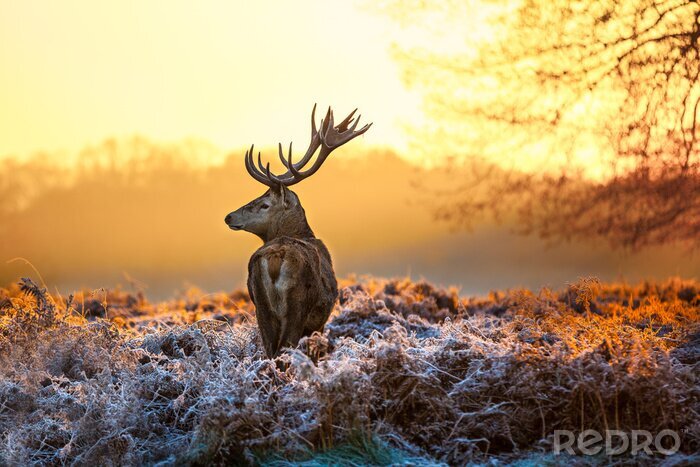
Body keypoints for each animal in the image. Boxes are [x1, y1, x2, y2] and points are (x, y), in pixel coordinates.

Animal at [224, 105, 371, 358]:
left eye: (264, 204)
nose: (229, 216)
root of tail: (275, 257)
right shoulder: (319, 322)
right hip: (297, 307)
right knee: (285, 349)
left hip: (261, 307)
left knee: (270, 350)